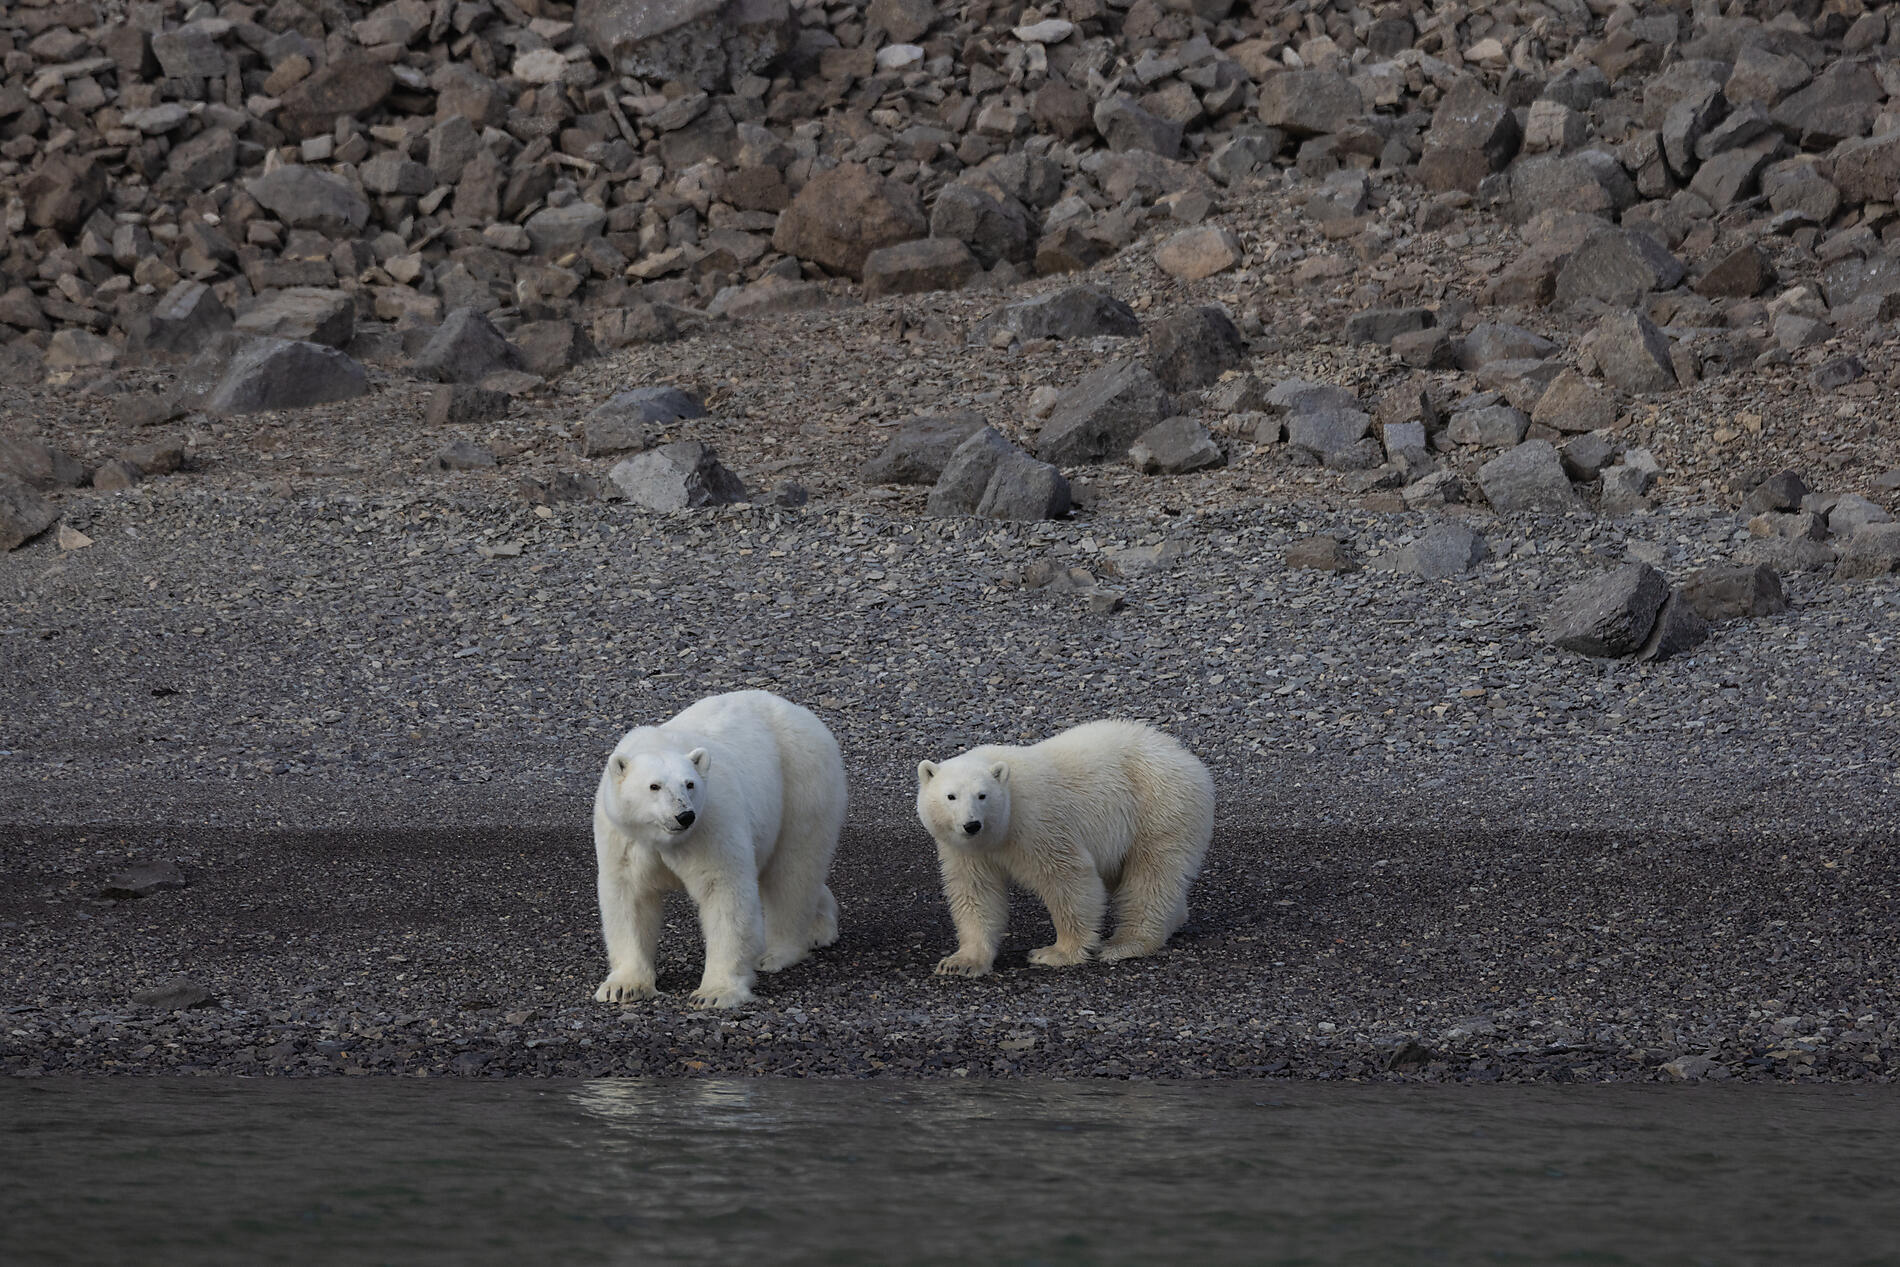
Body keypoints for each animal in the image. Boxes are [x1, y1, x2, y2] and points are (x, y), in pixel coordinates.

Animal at [592, 690, 847, 1009]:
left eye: (690, 784)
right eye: (654, 786)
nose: (684, 815)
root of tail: (801, 712)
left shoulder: (711, 822)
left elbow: (723, 890)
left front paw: (715, 993)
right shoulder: (623, 838)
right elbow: (629, 895)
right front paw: (623, 987)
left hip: (801, 783)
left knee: (793, 873)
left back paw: (777, 952)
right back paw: (820, 927)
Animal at [915, 719, 1215, 977]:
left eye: (982, 795)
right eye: (951, 796)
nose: (971, 824)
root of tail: (1188, 758)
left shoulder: (1037, 822)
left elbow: (1066, 878)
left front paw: (1054, 953)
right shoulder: (966, 850)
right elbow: (975, 892)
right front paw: (961, 962)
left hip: (1159, 806)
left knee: (1151, 875)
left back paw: (1124, 943)